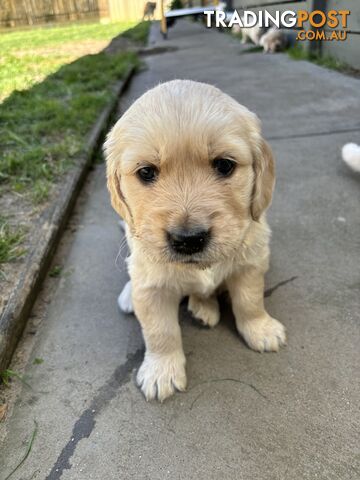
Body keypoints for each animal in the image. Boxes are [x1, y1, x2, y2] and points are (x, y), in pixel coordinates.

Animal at [104, 80, 286, 404]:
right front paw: (161, 371)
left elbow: (250, 301)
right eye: (146, 172)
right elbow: (160, 331)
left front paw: (260, 329)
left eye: (224, 165)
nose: (188, 239)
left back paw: (204, 307)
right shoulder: (151, 287)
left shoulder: (251, 263)